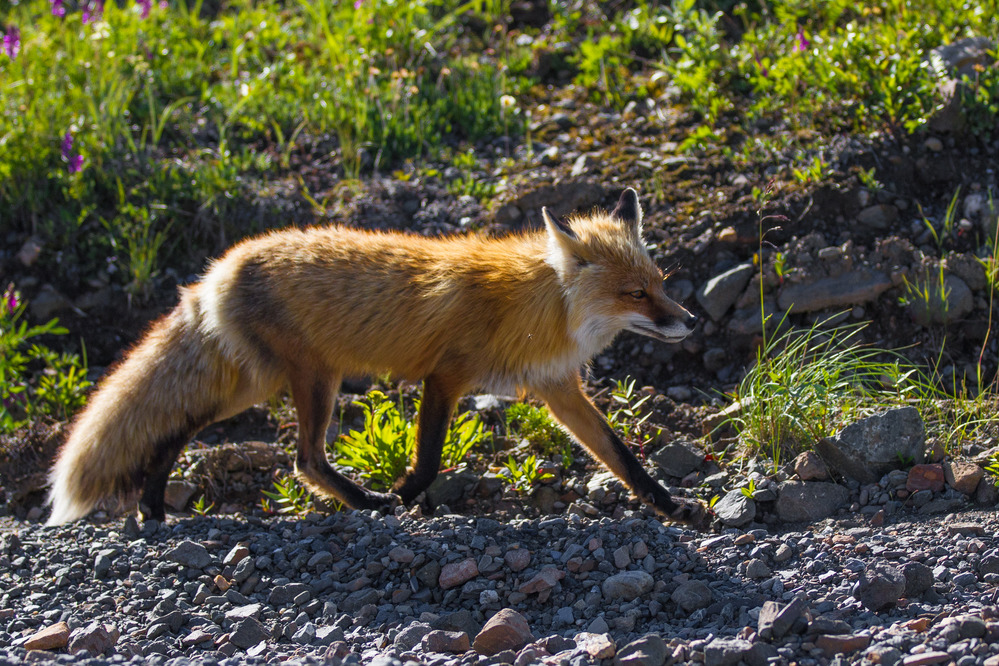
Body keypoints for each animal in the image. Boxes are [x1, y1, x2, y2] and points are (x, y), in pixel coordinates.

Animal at [45, 187, 704, 524]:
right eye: (635, 293)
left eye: (661, 282)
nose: (691, 321)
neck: (537, 310)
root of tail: (218, 269)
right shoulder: (446, 376)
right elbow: (431, 458)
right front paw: (407, 497)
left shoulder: (557, 388)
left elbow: (621, 455)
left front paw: (669, 504)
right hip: (312, 380)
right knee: (304, 460)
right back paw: (367, 501)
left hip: (256, 384)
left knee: (176, 428)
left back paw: (152, 504)